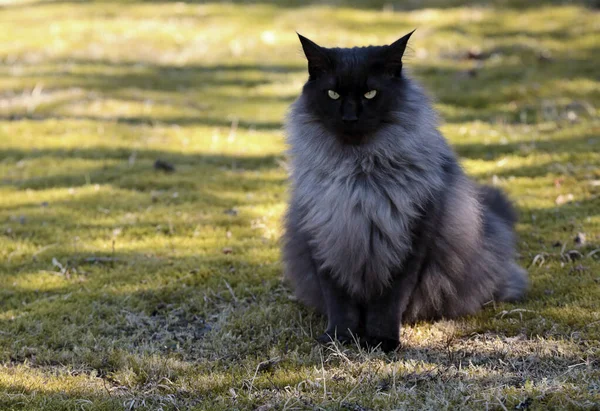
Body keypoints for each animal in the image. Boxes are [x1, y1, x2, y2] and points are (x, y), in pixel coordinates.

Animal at [282, 33, 528, 354]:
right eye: (333, 94)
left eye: (371, 94)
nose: (350, 117)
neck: (358, 176)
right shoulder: (323, 239)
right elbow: (340, 304)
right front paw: (338, 338)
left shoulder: (411, 242)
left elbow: (388, 304)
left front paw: (382, 341)